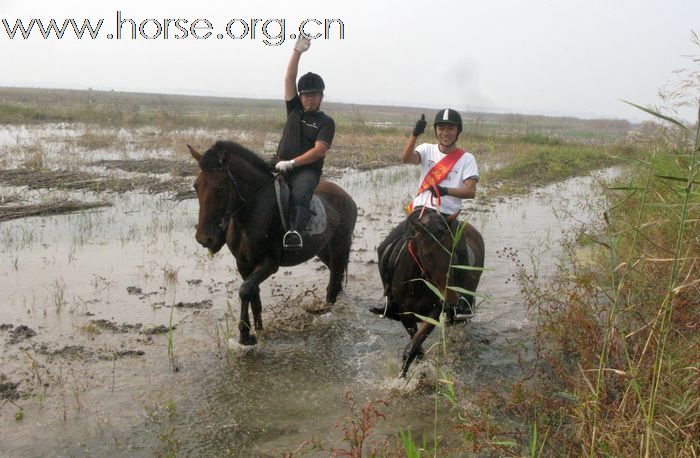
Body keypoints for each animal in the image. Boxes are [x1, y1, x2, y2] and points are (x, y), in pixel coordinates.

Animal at [189, 141, 358, 346]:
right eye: (196, 186)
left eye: (220, 189)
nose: (204, 238)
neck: (253, 213)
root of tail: (348, 197)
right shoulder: (243, 264)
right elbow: (254, 296)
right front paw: (259, 330)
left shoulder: (269, 263)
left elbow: (245, 290)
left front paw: (245, 335)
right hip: (324, 250)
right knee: (336, 275)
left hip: (339, 246)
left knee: (333, 282)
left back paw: (325, 314)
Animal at [380, 209, 484, 378]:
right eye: (428, 255)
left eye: (453, 251)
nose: (450, 298)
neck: (417, 283)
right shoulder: (405, 313)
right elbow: (415, 349)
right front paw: (405, 377)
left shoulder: (434, 311)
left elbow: (413, 347)